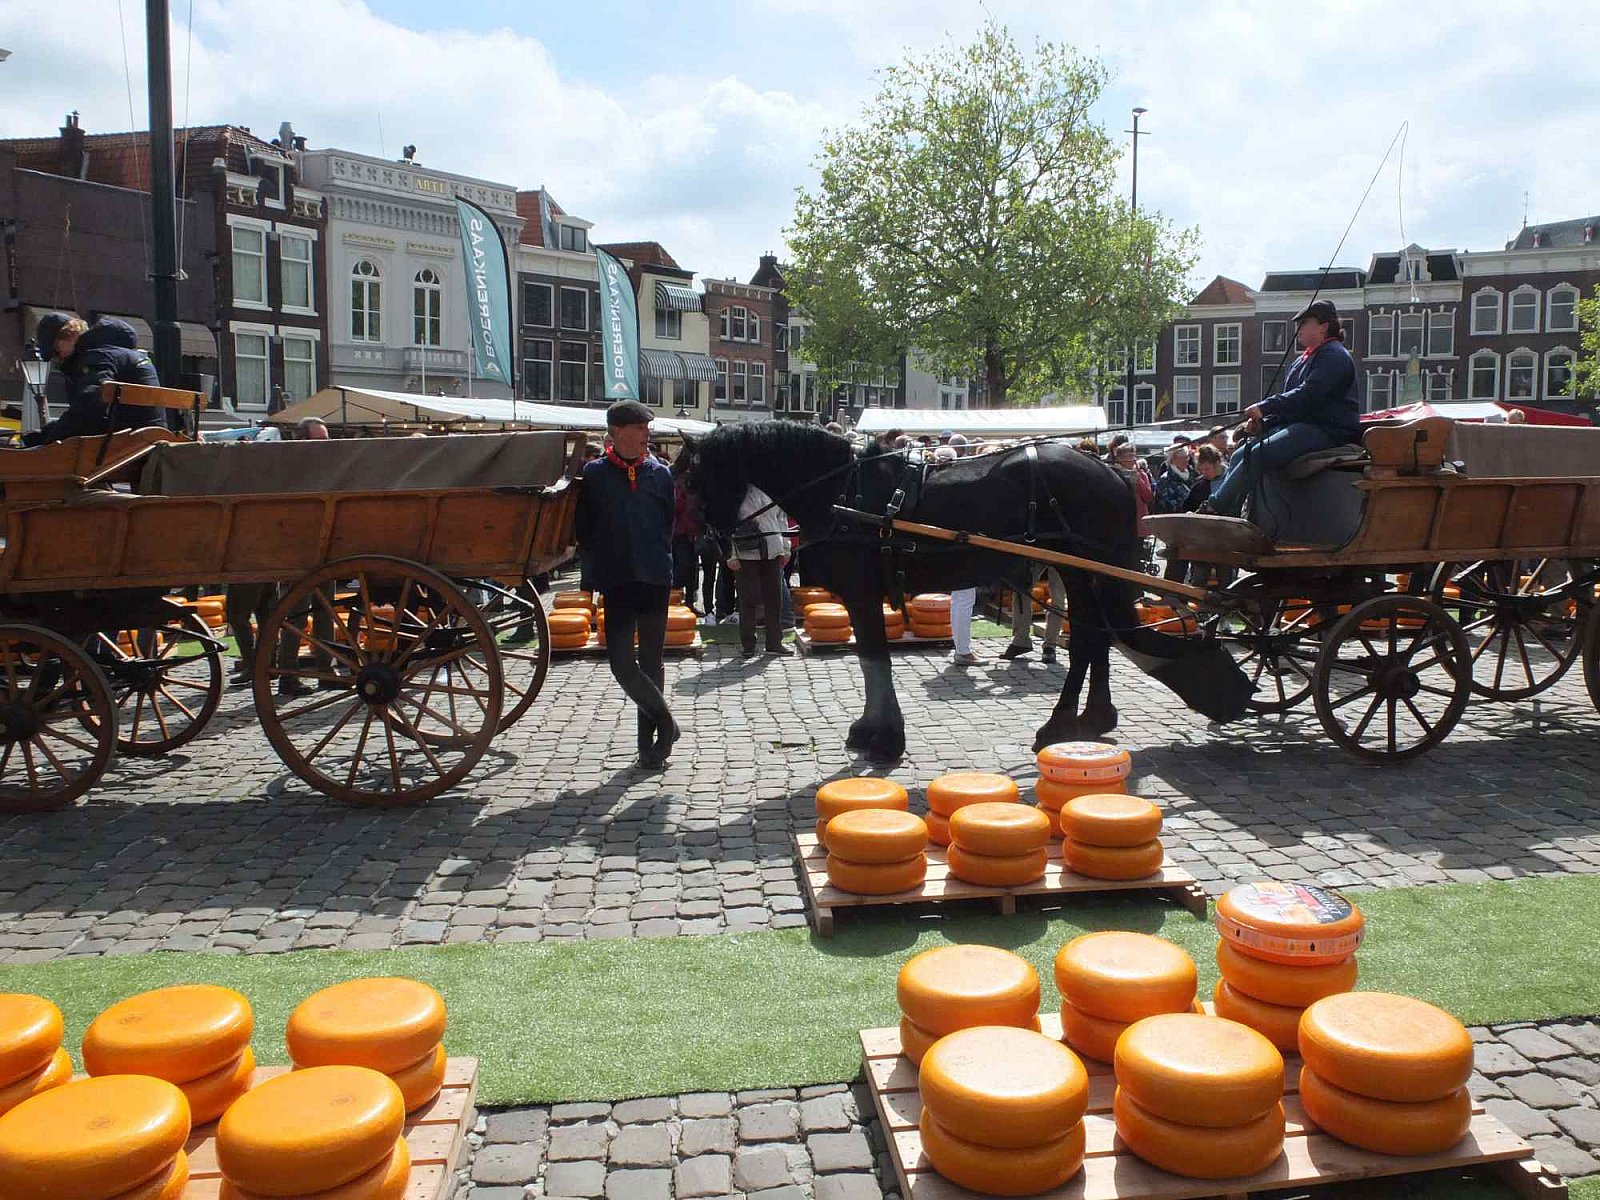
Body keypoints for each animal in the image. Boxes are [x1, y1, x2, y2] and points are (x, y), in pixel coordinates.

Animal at [688, 421, 1252, 760]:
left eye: (700, 478)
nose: (715, 542)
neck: (843, 493)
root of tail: (1110, 469)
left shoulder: (863, 591)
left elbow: (874, 659)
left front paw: (883, 738)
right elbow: (872, 660)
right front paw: (873, 731)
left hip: (1077, 569)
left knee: (1090, 640)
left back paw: (1060, 724)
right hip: (1084, 572)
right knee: (1097, 637)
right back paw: (1092, 719)